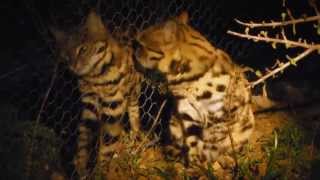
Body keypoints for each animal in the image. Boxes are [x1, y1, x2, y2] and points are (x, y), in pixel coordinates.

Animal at [51, 10, 141, 179]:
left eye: (83, 49)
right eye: (66, 57)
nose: (73, 66)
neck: (95, 78)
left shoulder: (113, 106)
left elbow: (107, 144)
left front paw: (100, 170)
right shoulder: (90, 104)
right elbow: (83, 138)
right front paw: (81, 165)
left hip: (134, 89)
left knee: (134, 110)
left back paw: (135, 133)